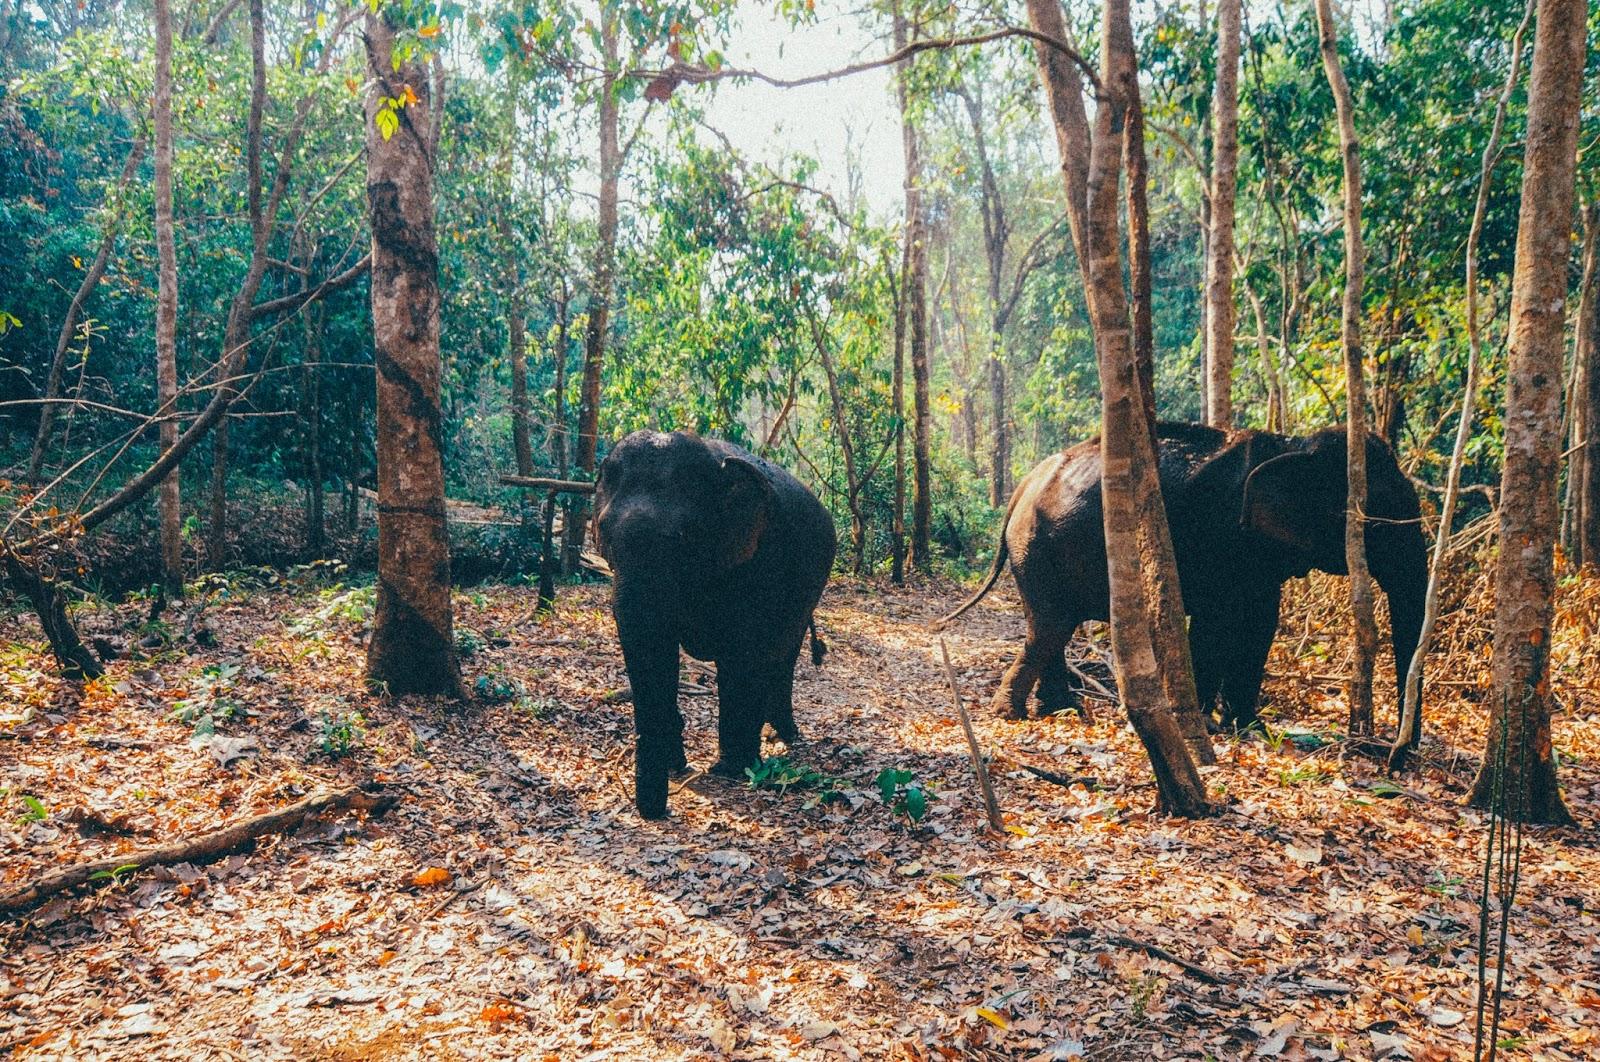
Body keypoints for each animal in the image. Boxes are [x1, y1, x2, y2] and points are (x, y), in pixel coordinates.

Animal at [594, 430, 836, 820]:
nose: (655, 812)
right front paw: (678, 760)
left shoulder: (762, 561)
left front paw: (729, 770)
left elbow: (741, 658)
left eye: (684, 538)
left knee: (783, 653)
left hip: (813, 583)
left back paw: (785, 736)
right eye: (605, 534)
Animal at [940, 423, 1428, 741]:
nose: (1398, 756)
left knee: (1050, 627)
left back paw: (1061, 710)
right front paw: (1213, 724)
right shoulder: (1221, 537)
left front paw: (1247, 726)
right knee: (1050, 627)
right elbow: (1219, 625)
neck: (1293, 445)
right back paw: (1015, 714)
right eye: (1381, 517)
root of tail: (1022, 487)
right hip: (1037, 549)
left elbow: (1260, 623)